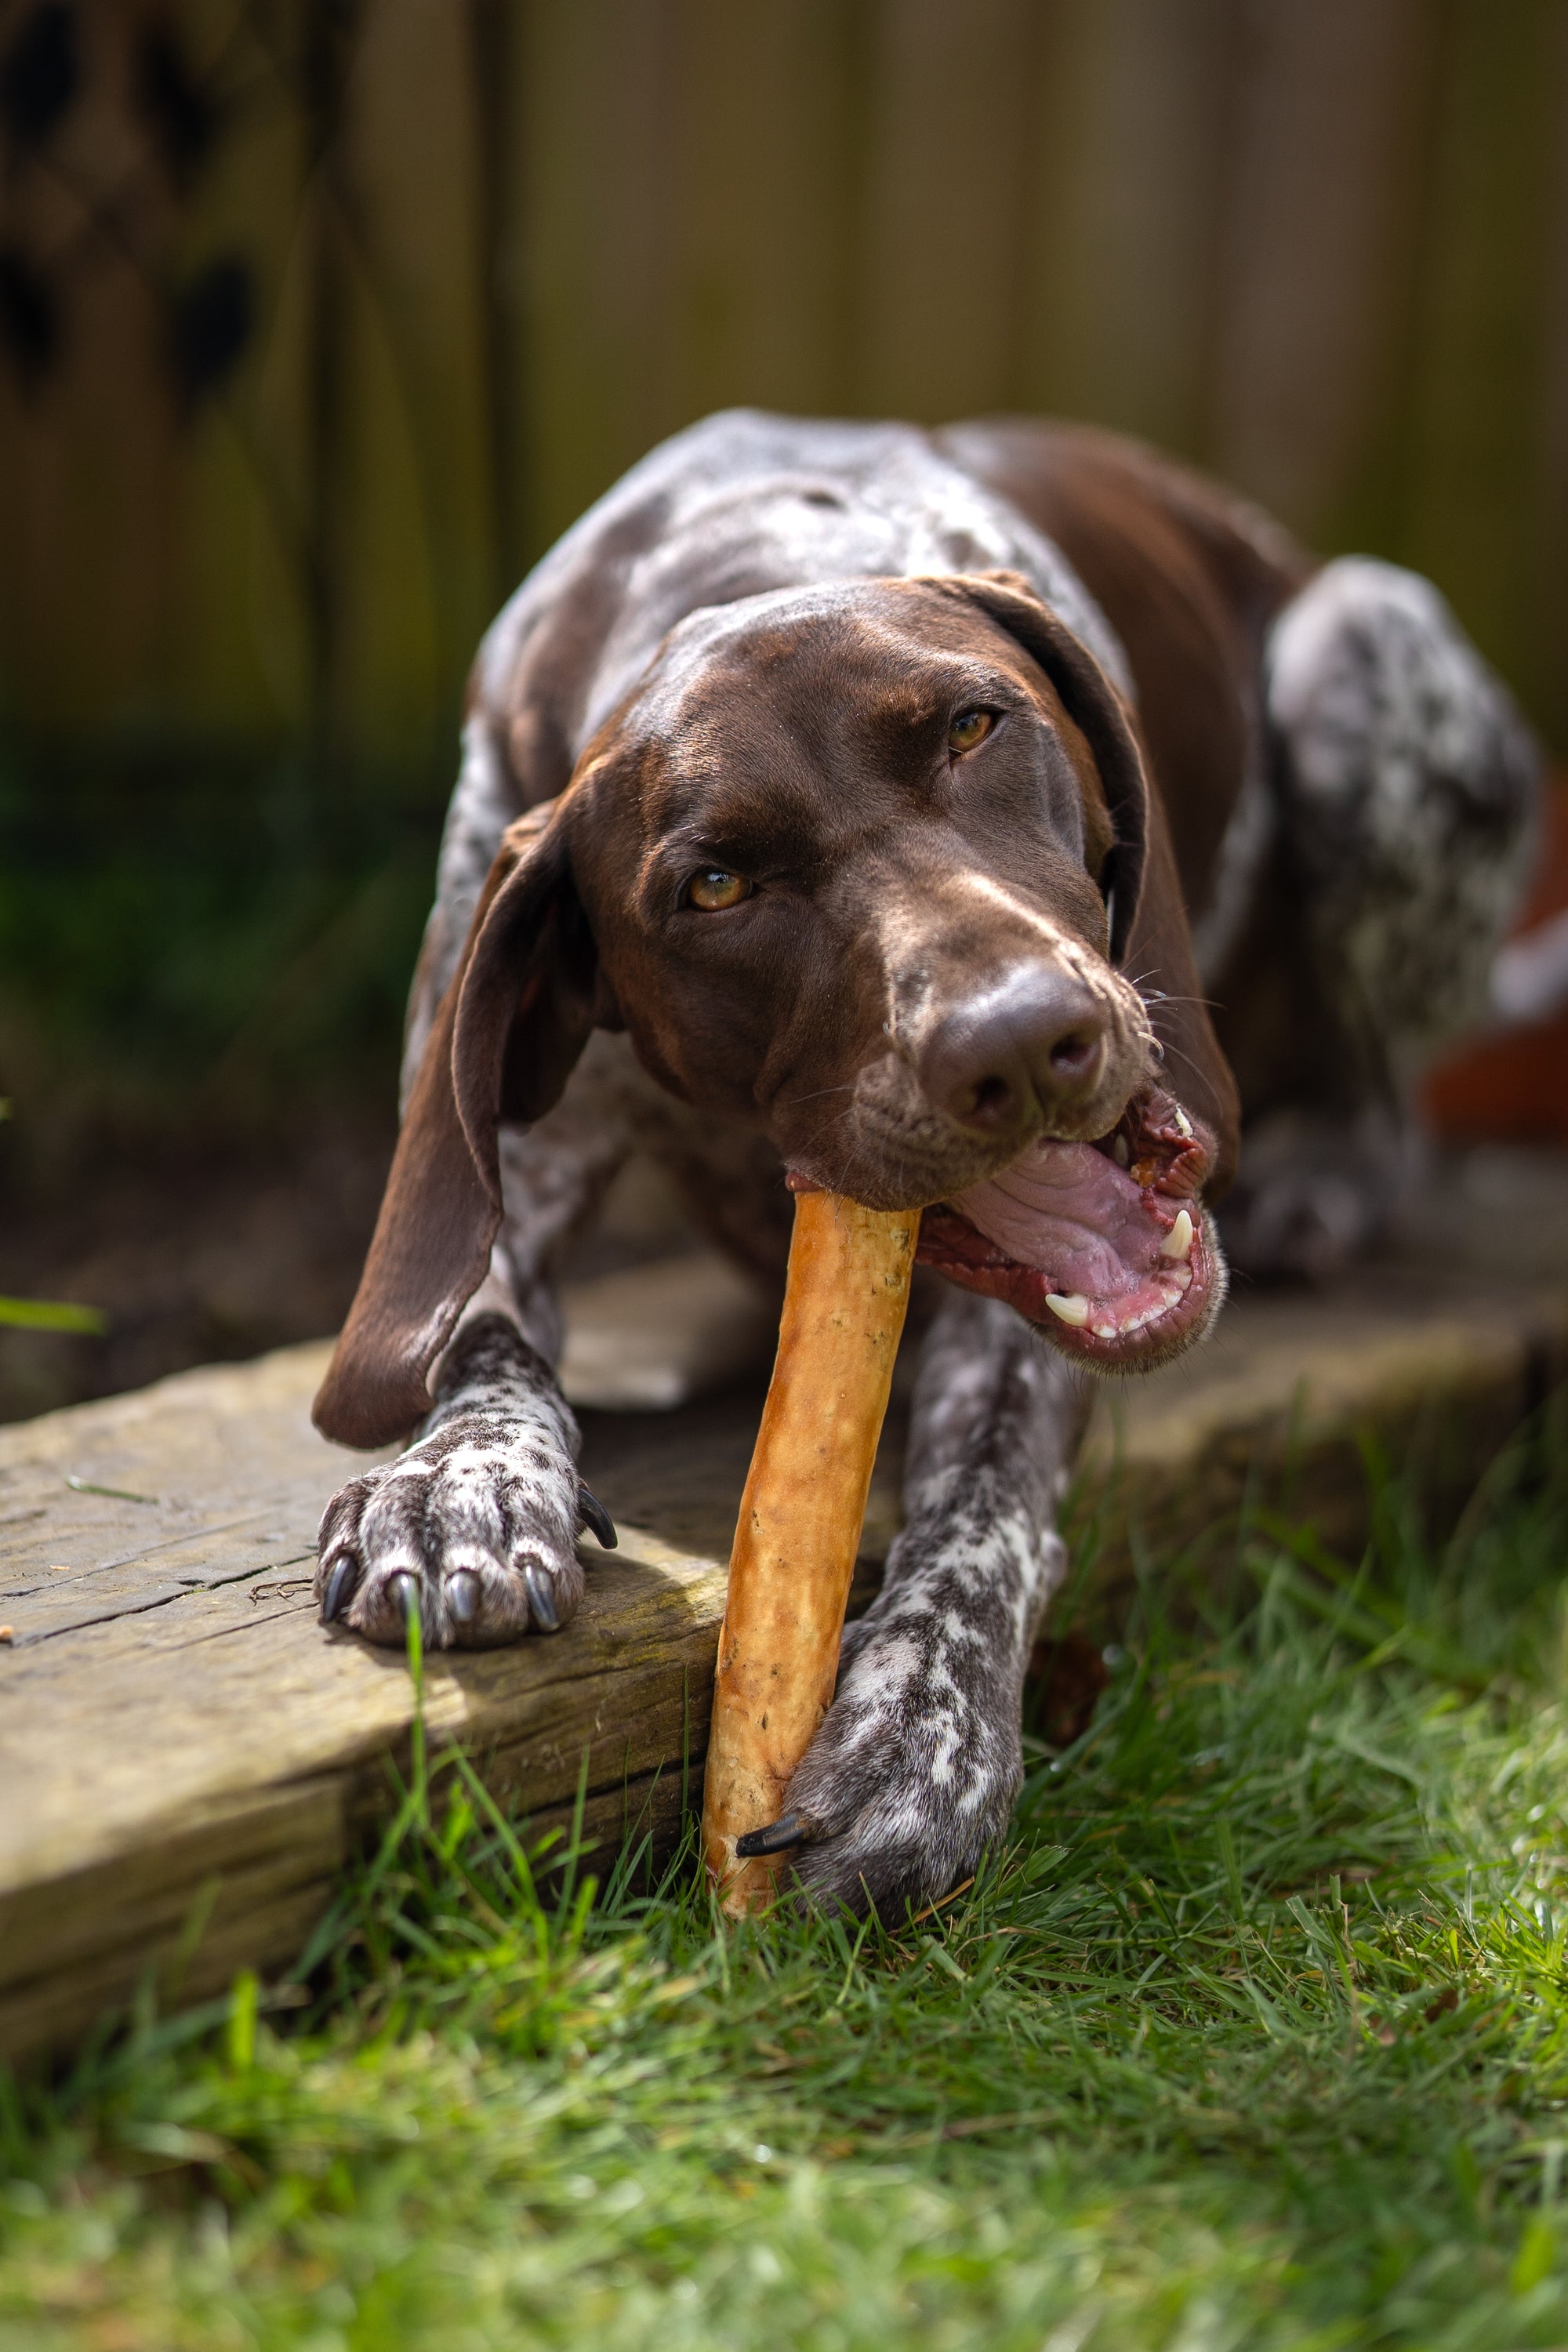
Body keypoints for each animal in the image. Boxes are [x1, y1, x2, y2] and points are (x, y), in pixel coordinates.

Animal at [305, 409, 1533, 1910]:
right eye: (713, 887)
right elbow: (475, 1329)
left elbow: (987, 1505)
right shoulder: (505, 1167)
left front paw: (918, 1734)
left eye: (973, 727)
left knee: (1391, 1091)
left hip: (1363, 652)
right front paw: (458, 1485)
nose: (1023, 1041)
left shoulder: (1009, 1344)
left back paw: (1327, 1176)